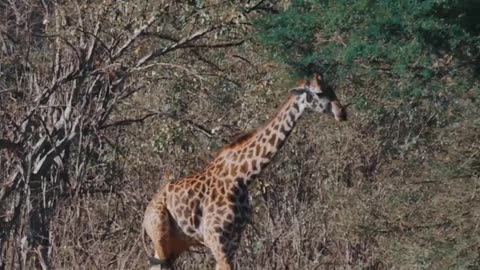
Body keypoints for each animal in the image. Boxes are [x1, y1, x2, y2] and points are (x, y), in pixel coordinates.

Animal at [142, 73, 344, 268]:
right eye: (319, 93)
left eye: (332, 88)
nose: (342, 113)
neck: (243, 176)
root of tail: (146, 214)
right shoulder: (216, 240)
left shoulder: (233, 241)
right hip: (161, 238)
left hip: (175, 245)